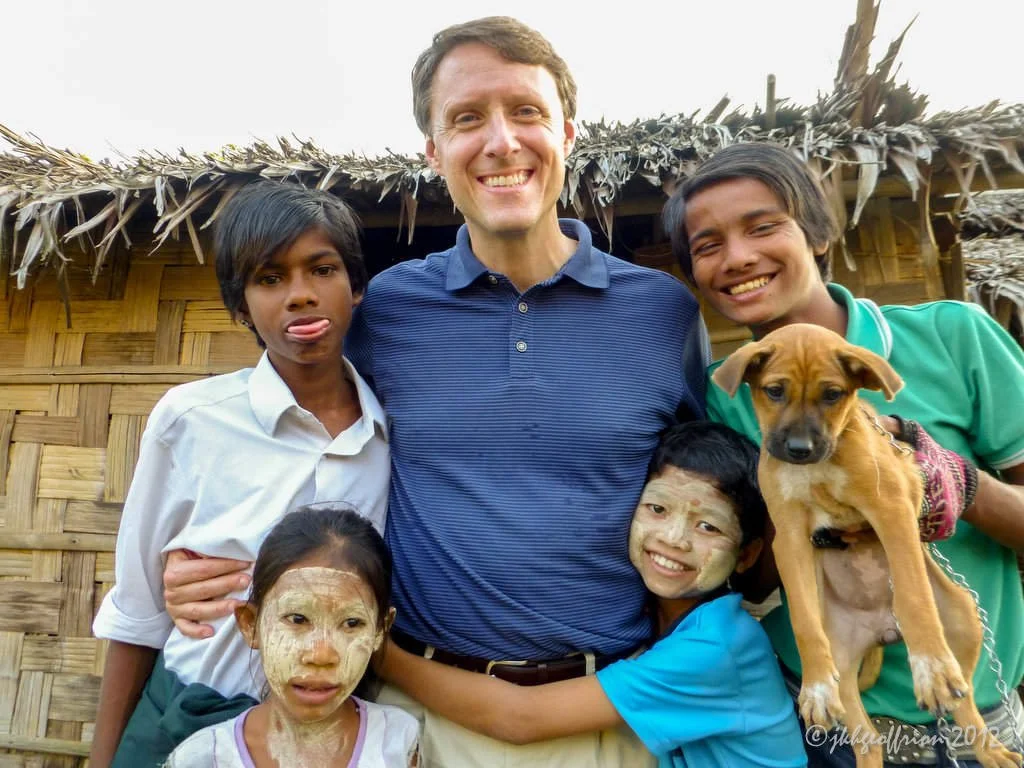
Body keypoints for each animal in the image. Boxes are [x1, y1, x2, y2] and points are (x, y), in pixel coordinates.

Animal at [712, 323, 1021, 768]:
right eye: (774, 391)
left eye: (832, 394)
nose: (799, 450)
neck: (822, 466)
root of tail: (883, 632)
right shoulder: (789, 537)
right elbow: (803, 619)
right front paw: (815, 686)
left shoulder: (891, 510)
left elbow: (913, 596)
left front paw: (930, 668)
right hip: (844, 665)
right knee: (868, 739)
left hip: (963, 622)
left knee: (965, 705)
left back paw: (989, 747)